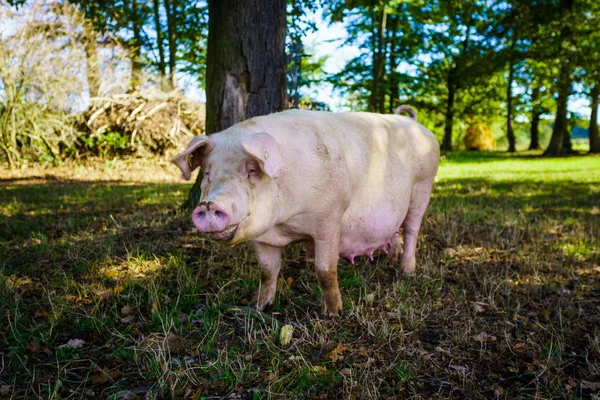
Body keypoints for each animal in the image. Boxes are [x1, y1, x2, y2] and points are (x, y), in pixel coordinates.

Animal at [171, 104, 438, 318]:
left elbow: (325, 271)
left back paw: (406, 271)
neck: (285, 225)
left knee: (412, 229)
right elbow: (267, 271)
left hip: (423, 186)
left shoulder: (329, 220)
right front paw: (258, 307)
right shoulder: (263, 238)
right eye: (207, 173)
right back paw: (391, 258)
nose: (209, 205)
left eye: (251, 170)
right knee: (396, 231)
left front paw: (332, 314)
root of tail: (416, 124)